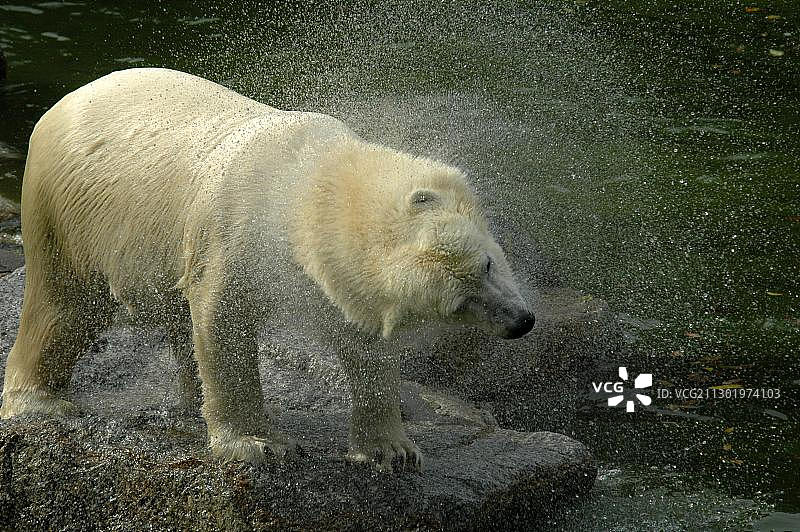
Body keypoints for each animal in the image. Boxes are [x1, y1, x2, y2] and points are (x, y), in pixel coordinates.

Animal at [0, 68, 534, 472]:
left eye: (487, 264)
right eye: (460, 302)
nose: (522, 321)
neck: (304, 175)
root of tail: (67, 98)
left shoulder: (326, 278)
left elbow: (363, 343)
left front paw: (391, 449)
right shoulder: (234, 235)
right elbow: (224, 323)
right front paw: (258, 443)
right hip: (67, 209)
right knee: (63, 307)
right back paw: (41, 401)